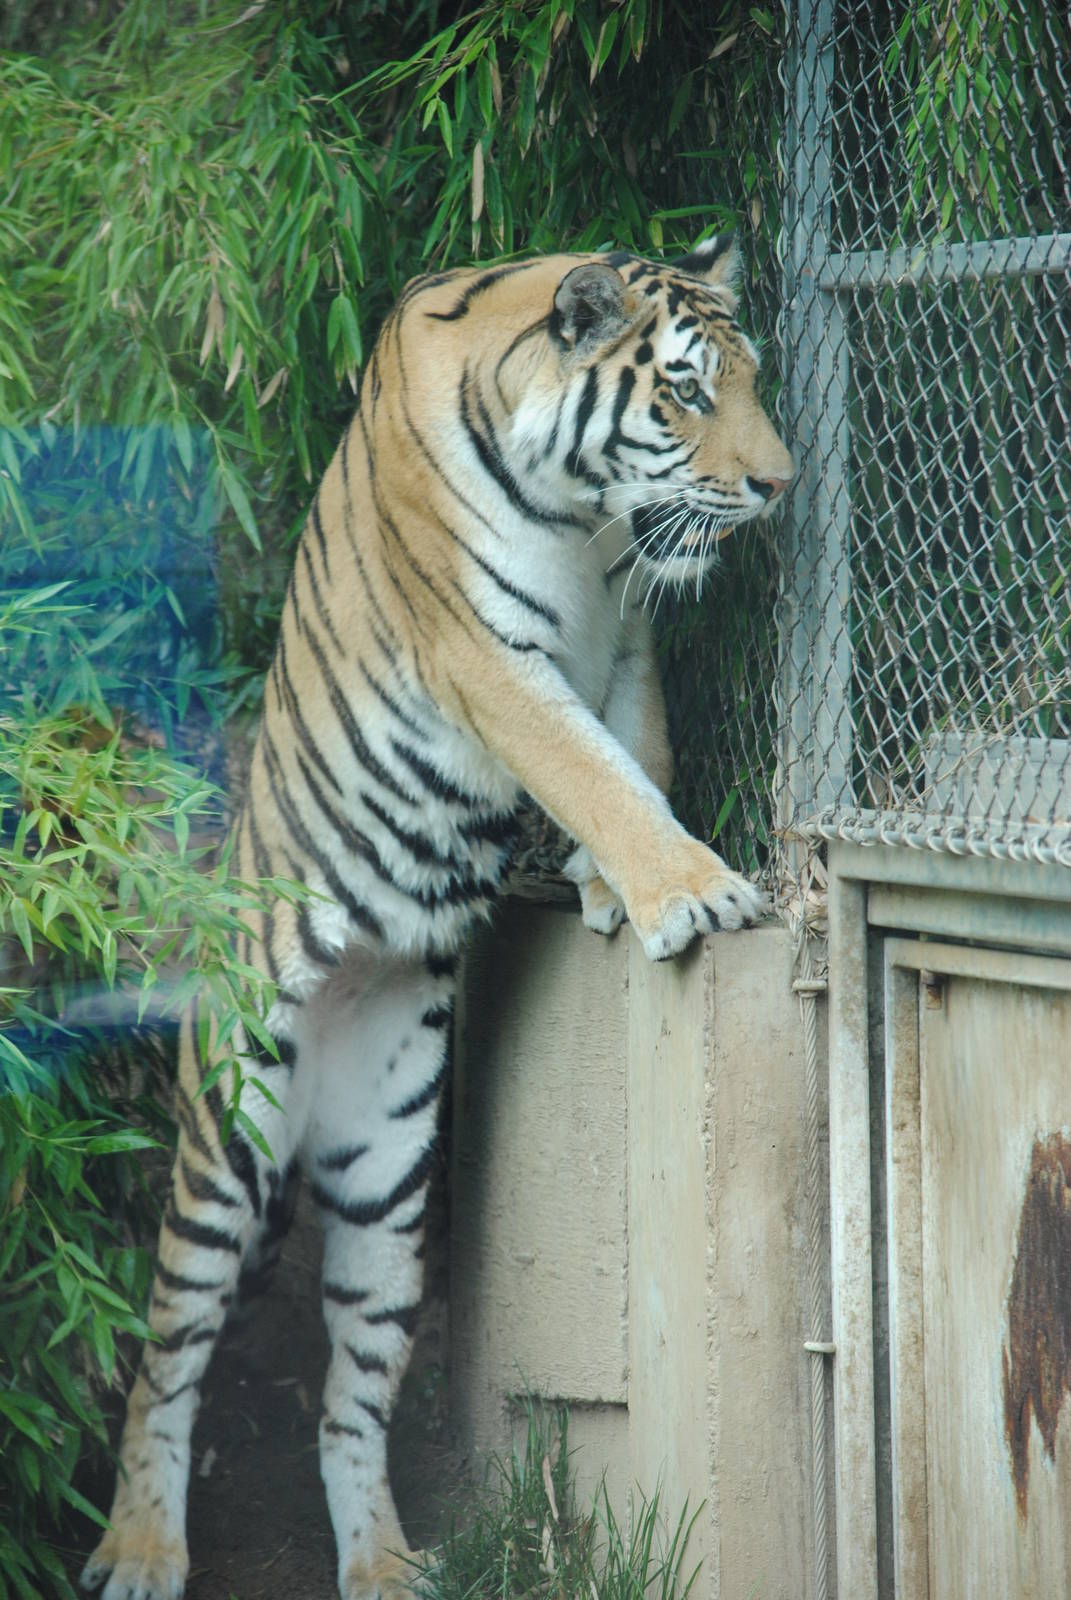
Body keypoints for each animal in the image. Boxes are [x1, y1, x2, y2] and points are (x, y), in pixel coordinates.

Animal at [81, 234, 794, 1600]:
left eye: (748, 381)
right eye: (684, 390)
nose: (778, 487)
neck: (585, 518)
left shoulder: (625, 643)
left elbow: (638, 758)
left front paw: (613, 888)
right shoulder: (488, 655)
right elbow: (591, 774)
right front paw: (692, 891)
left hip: (389, 1182)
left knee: (350, 1405)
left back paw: (385, 1562)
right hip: (227, 1143)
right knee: (163, 1358)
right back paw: (140, 1545)